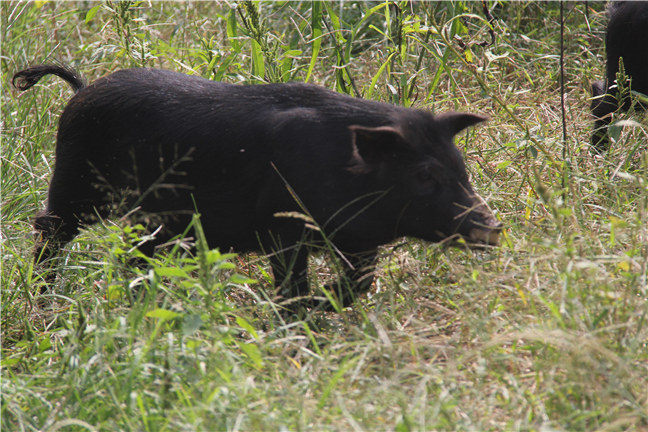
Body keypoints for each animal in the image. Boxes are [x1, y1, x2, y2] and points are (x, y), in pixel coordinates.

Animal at [13, 66, 502, 310]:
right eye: (424, 175)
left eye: (461, 168)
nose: (493, 228)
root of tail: (82, 89)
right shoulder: (283, 230)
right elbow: (293, 283)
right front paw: (292, 312)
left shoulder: (355, 240)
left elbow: (360, 282)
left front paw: (319, 306)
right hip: (76, 186)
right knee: (49, 229)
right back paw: (44, 299)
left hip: (152, 219)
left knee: (133, 254)